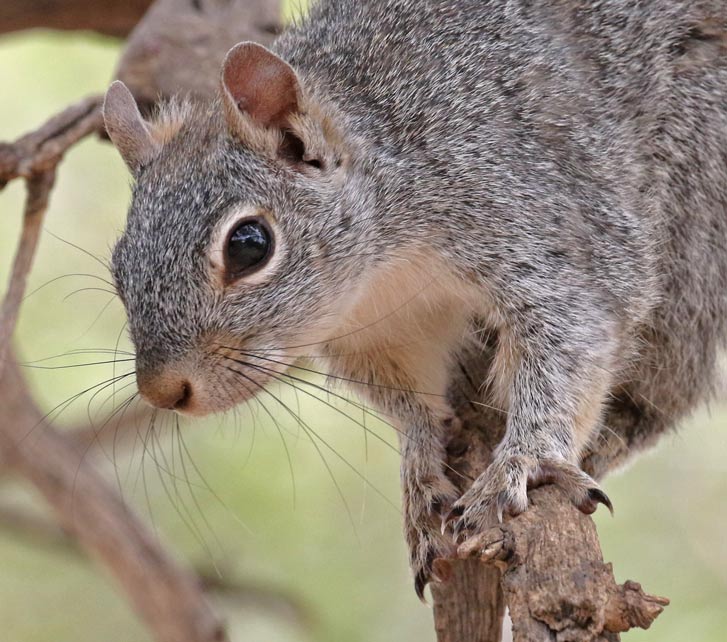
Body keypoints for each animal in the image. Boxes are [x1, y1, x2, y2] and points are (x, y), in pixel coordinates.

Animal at [103, 0, 727, 597]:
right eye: (119, 266)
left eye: (249, 245)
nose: (163, 392)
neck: (383, 274)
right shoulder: (379, 334)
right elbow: (411, 402)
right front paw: (422, 468)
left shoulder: (539, 228)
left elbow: (570, 343)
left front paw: (523, 464)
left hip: (696, 206)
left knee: (672, 384)